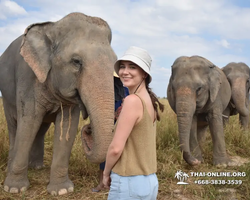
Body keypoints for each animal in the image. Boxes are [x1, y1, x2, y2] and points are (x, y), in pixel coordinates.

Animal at [0, 12, 115, 195]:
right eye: (76, 61)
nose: (88, 128)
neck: (53, 27)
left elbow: (68, 126)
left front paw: (62, 191)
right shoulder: (27, 76)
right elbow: (28, 123)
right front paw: (14, 189)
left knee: (40, 129)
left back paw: (37, 167)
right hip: (6, 95)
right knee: (14, 126)